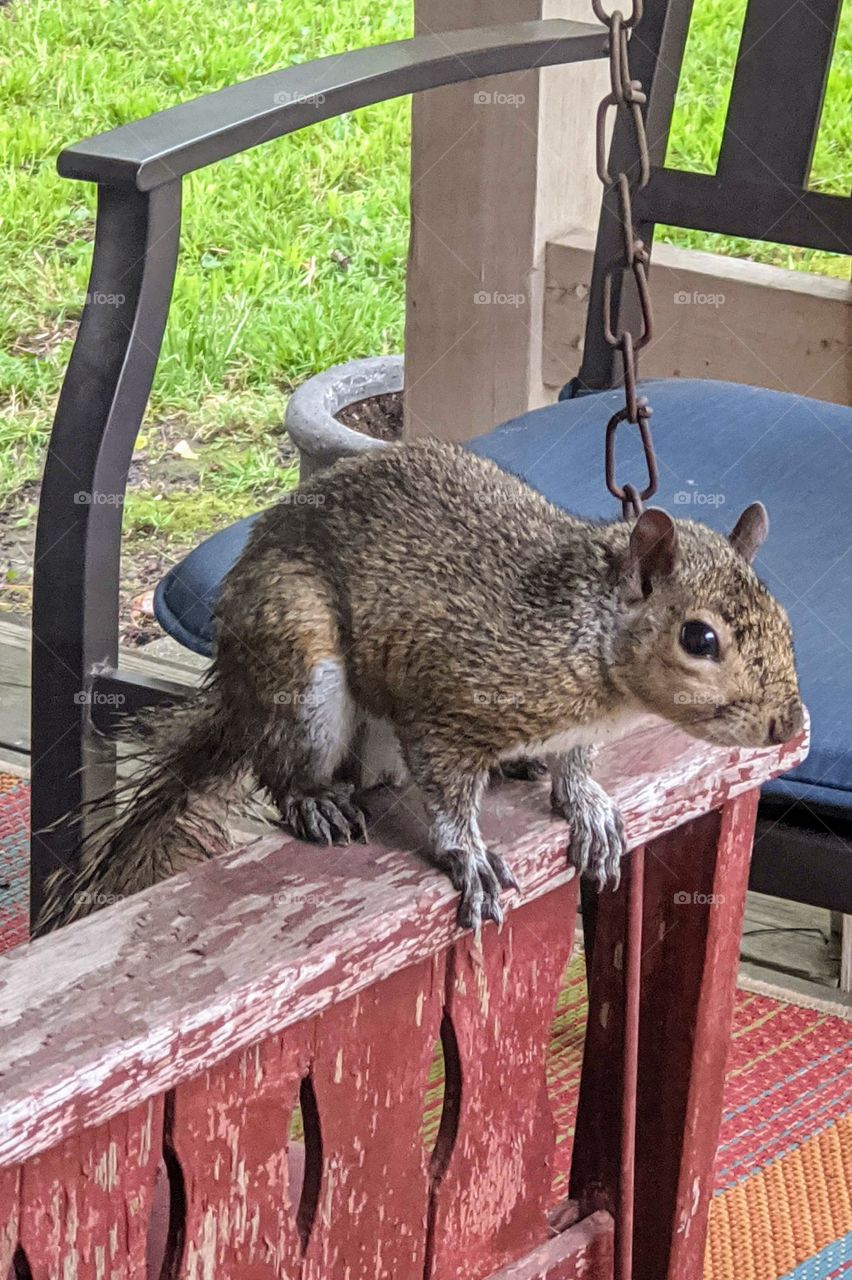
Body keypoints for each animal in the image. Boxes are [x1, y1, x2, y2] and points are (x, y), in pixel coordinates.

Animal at [38, 439, 803, 933]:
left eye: (784, 616)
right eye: (699, 639)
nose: (789, 726)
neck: (584, 642)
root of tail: (236, 685)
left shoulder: (576, 728)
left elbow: (577, 765)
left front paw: (588, 804)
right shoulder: (450, 705)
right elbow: (446, 792)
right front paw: (469, 855)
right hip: (301, 667)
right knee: (281, 767)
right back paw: (316, 801)